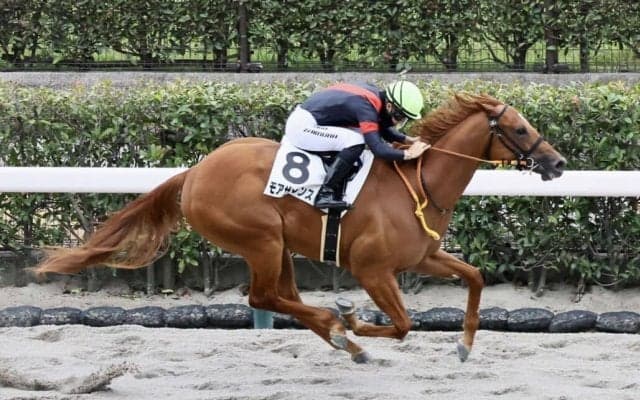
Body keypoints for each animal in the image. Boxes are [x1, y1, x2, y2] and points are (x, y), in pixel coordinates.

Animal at [34, 93, 566, 363]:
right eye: (520, 129)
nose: (558, 162)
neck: (420, 184)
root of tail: (195, 172)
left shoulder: (423, 257)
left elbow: (474, 277)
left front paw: (464, 343)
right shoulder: (373, 270)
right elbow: (402, 325)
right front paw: (354, 319)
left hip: (279, 245)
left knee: (280, 296)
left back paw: (342, 337)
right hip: (261, 239)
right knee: (263, 297)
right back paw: (340, 328)